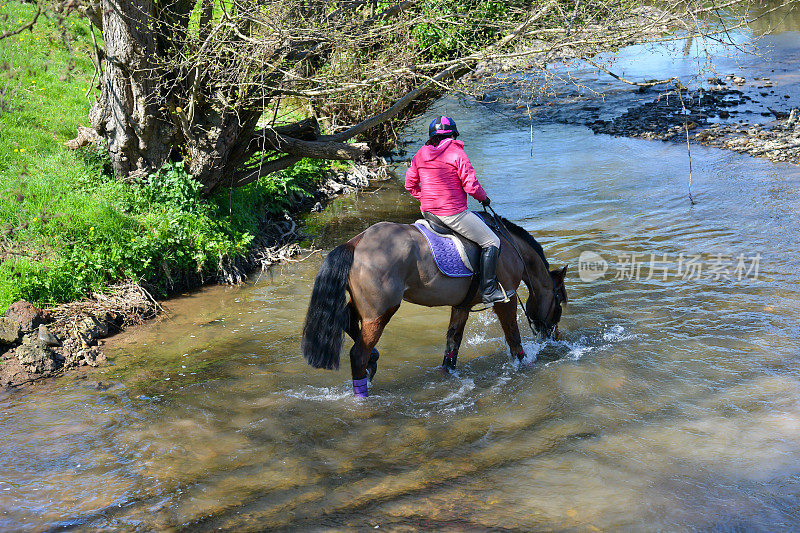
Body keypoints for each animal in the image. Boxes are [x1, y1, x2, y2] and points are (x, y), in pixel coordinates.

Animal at [302, 213, 568, 394]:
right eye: (559, 302)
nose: (554, 336)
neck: (513, 249)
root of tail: (356, 242)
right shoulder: (506, 300)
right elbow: (513, 338)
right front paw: (525, 365)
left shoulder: (461, 306)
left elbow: (452, 344)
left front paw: (447, 374)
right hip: (381, 311)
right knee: (358, 354)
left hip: (365, 307)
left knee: (347, 320)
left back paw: (374, 360)